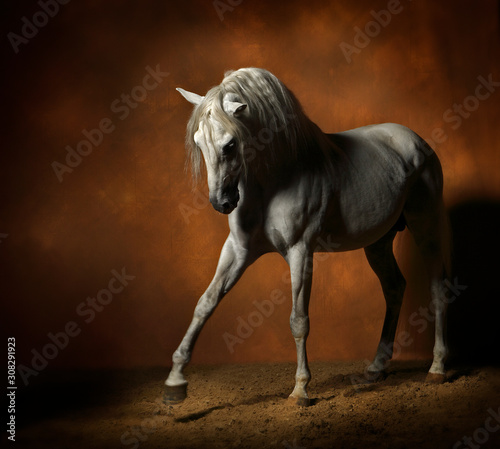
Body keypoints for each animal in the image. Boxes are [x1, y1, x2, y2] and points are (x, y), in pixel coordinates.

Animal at [165, 67, 454, 406]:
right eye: (198, 142)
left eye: (230, 144)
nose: (221, 202)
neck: (277, 176)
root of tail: (419, 143)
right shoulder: (238, 250)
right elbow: (205, 303)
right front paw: (175, 381)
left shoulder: (300, 251)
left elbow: (298, 320)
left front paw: (301, 389)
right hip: (378, 243)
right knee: (394, 288)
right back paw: (376, 368)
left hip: (426, 227)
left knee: (437, 287)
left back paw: (437, 368)